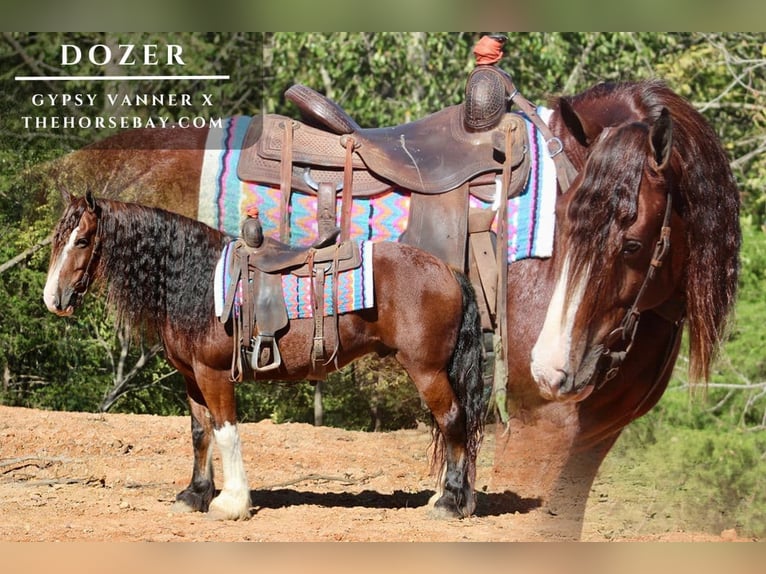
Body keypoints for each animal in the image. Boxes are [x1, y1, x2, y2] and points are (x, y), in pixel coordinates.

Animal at [42, 191, 485, 521]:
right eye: (56, 240)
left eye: (81, 240)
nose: (52, 300)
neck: (198, 281)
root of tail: (448, 271)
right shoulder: (191, 377)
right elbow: (200, 433)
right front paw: (195, 494)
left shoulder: (214, 374)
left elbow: (226, 431)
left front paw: (231, 502)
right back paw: (446, 496)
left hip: (427, 371)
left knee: (452, 420)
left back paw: (451, 501)